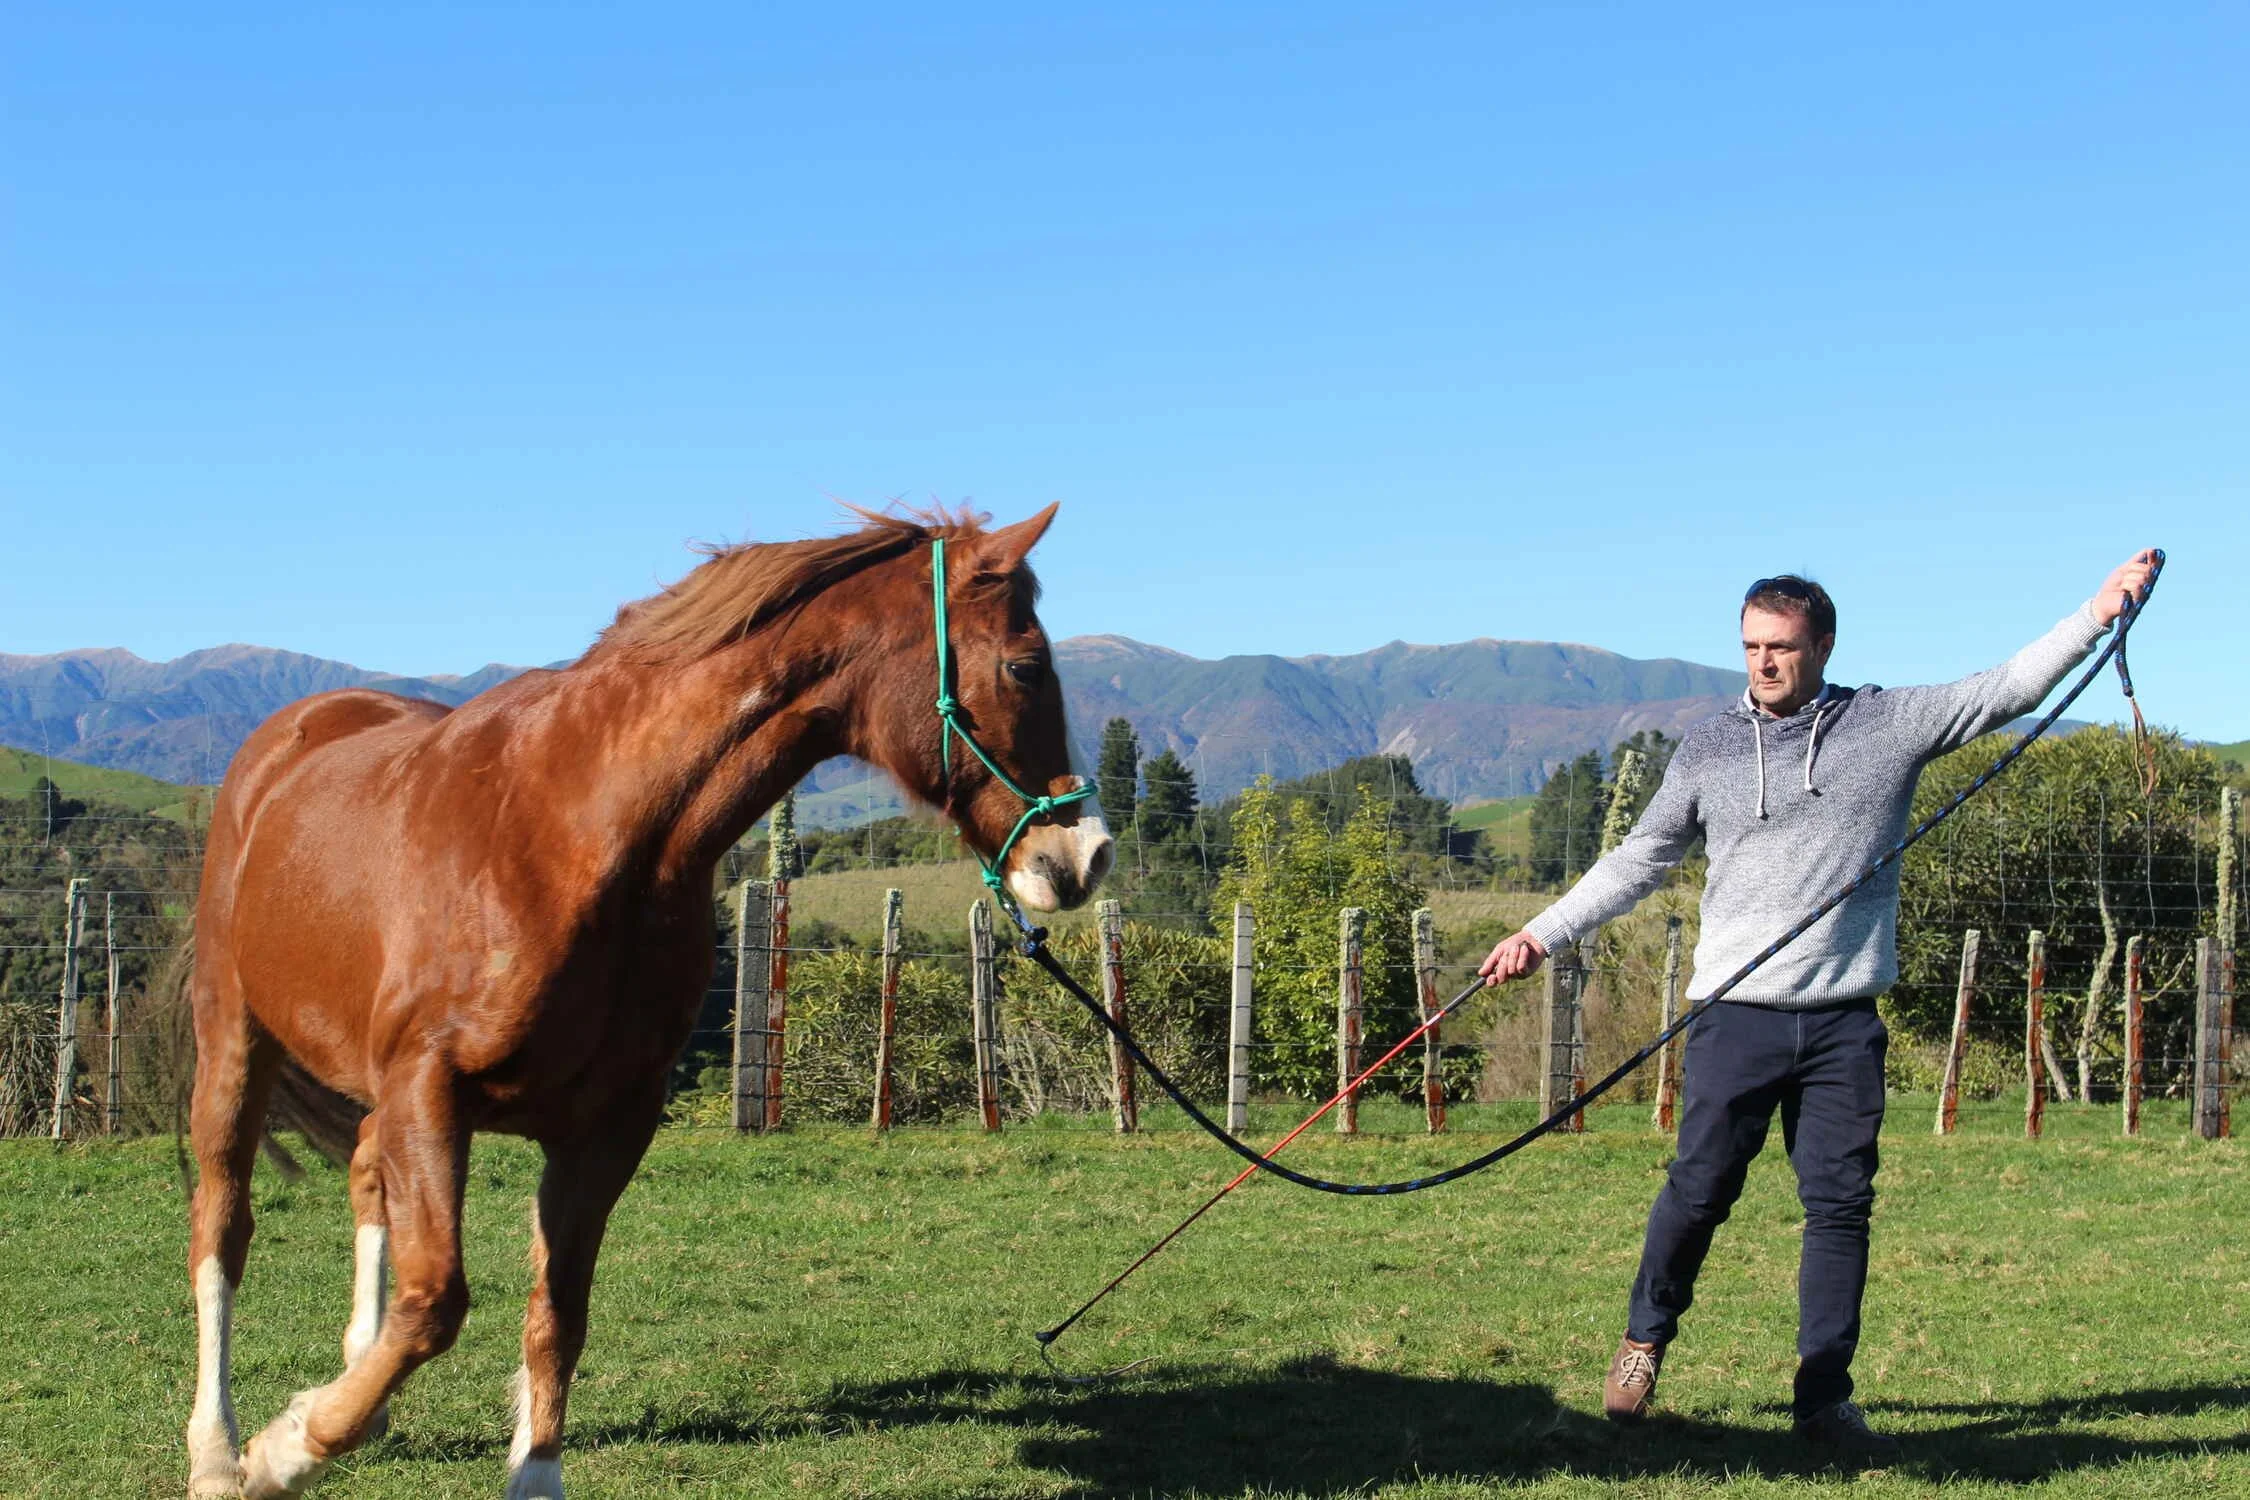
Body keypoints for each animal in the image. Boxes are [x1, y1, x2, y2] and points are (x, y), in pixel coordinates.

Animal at [182, 505, 1112, 1498]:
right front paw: (285, 1448)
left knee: (362, 1170)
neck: (581, 836)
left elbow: (557, 1316)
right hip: (235, 1044)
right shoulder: (429, 1090)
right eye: (1025, 666)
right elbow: (437, 1302)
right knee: (223, 1228)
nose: (1087, 855)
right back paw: (219, 1449)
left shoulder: (606, 1123)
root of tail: (290, 739)